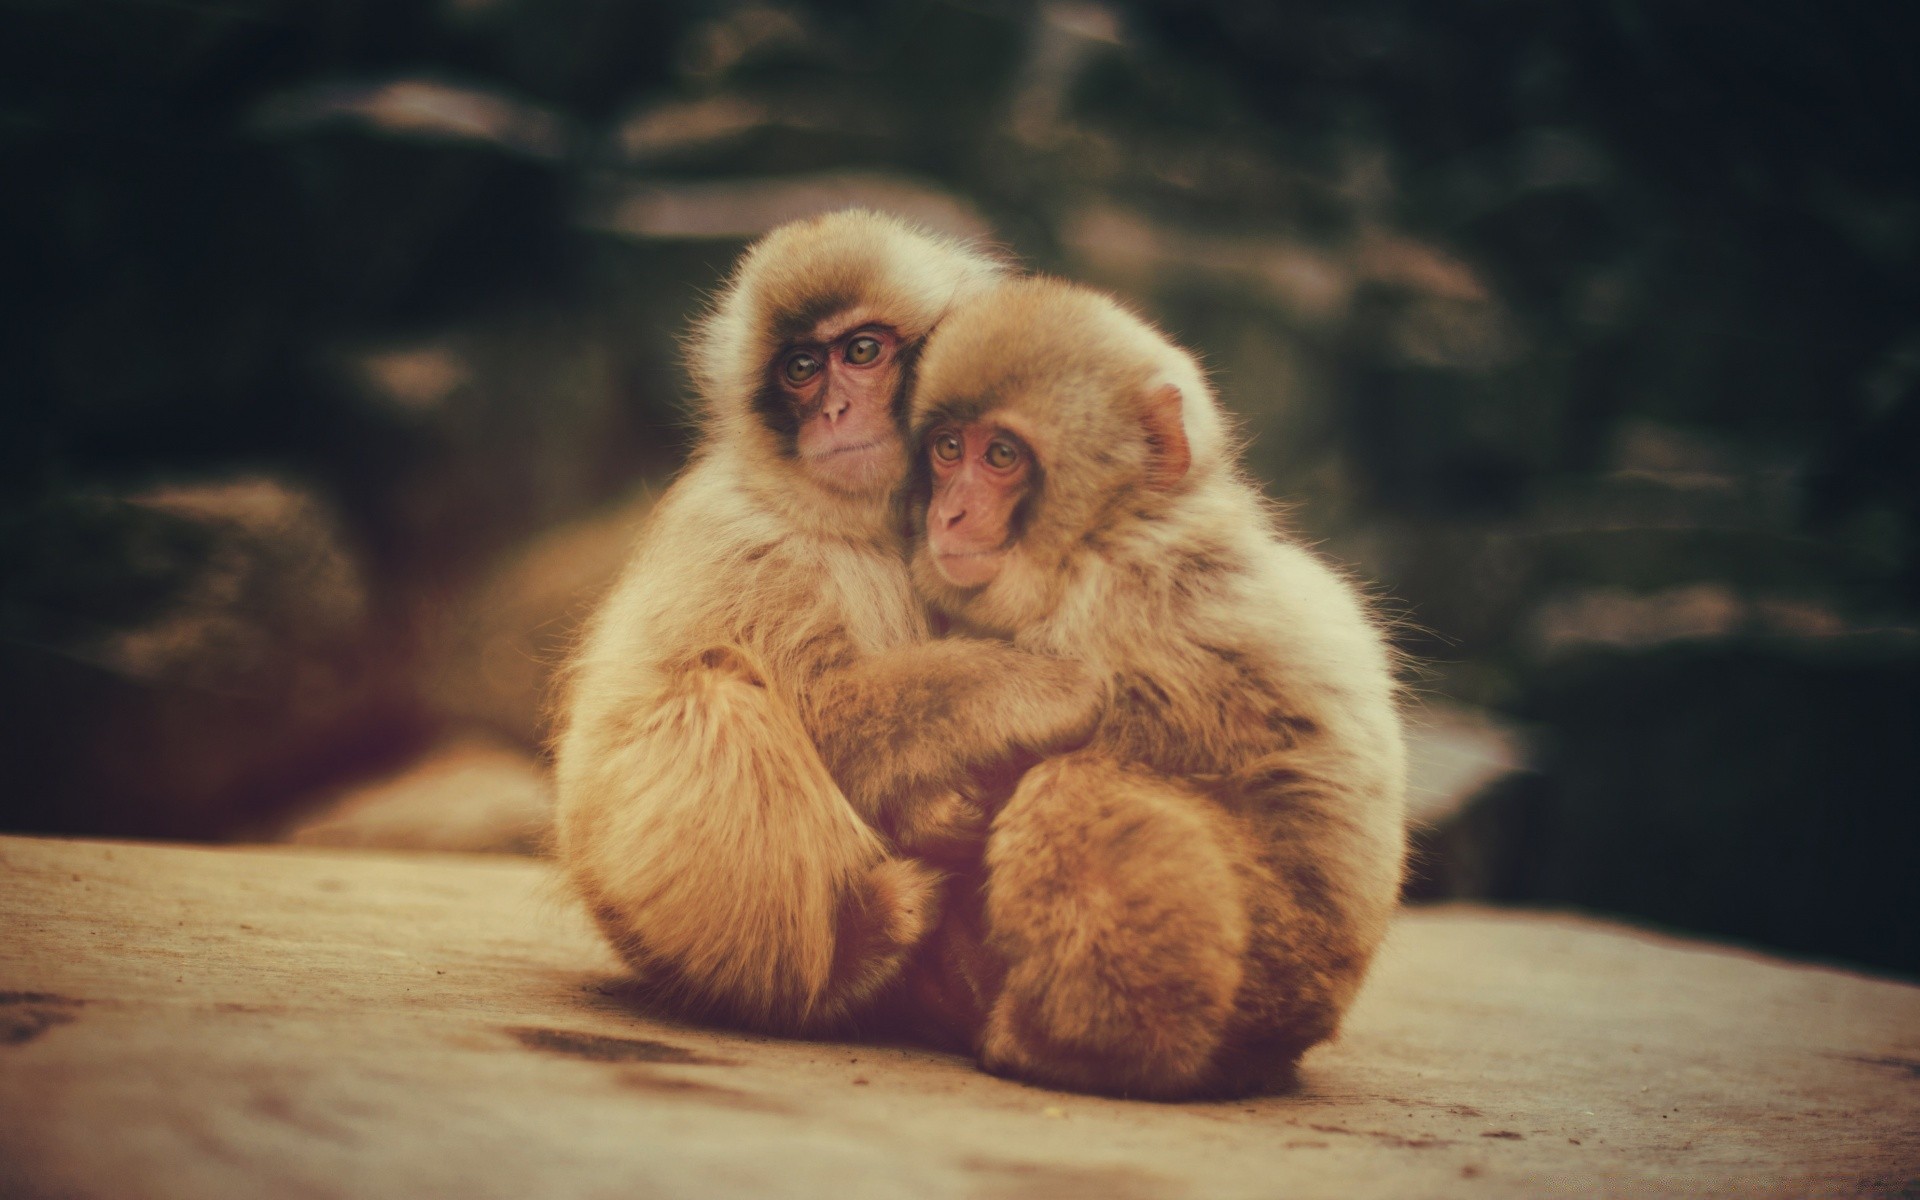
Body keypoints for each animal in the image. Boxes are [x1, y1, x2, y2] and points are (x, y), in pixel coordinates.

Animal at [549, 210, 1105, 1036]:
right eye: (802, 369)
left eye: (862, 351)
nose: (836, 411)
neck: (859, 521)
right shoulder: (750, 546)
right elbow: (819, 711)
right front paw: (1041, 687)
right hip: (641, 910)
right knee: (714, 701)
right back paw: (836, 962)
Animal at [898, 278, 1413, 1098]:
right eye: (949, 449)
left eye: (1001, 455)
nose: (949, 512)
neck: (1107, 534)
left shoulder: (1118, 605)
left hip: (1275, 973)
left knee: (1073, 792)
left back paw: (1081, 1047)